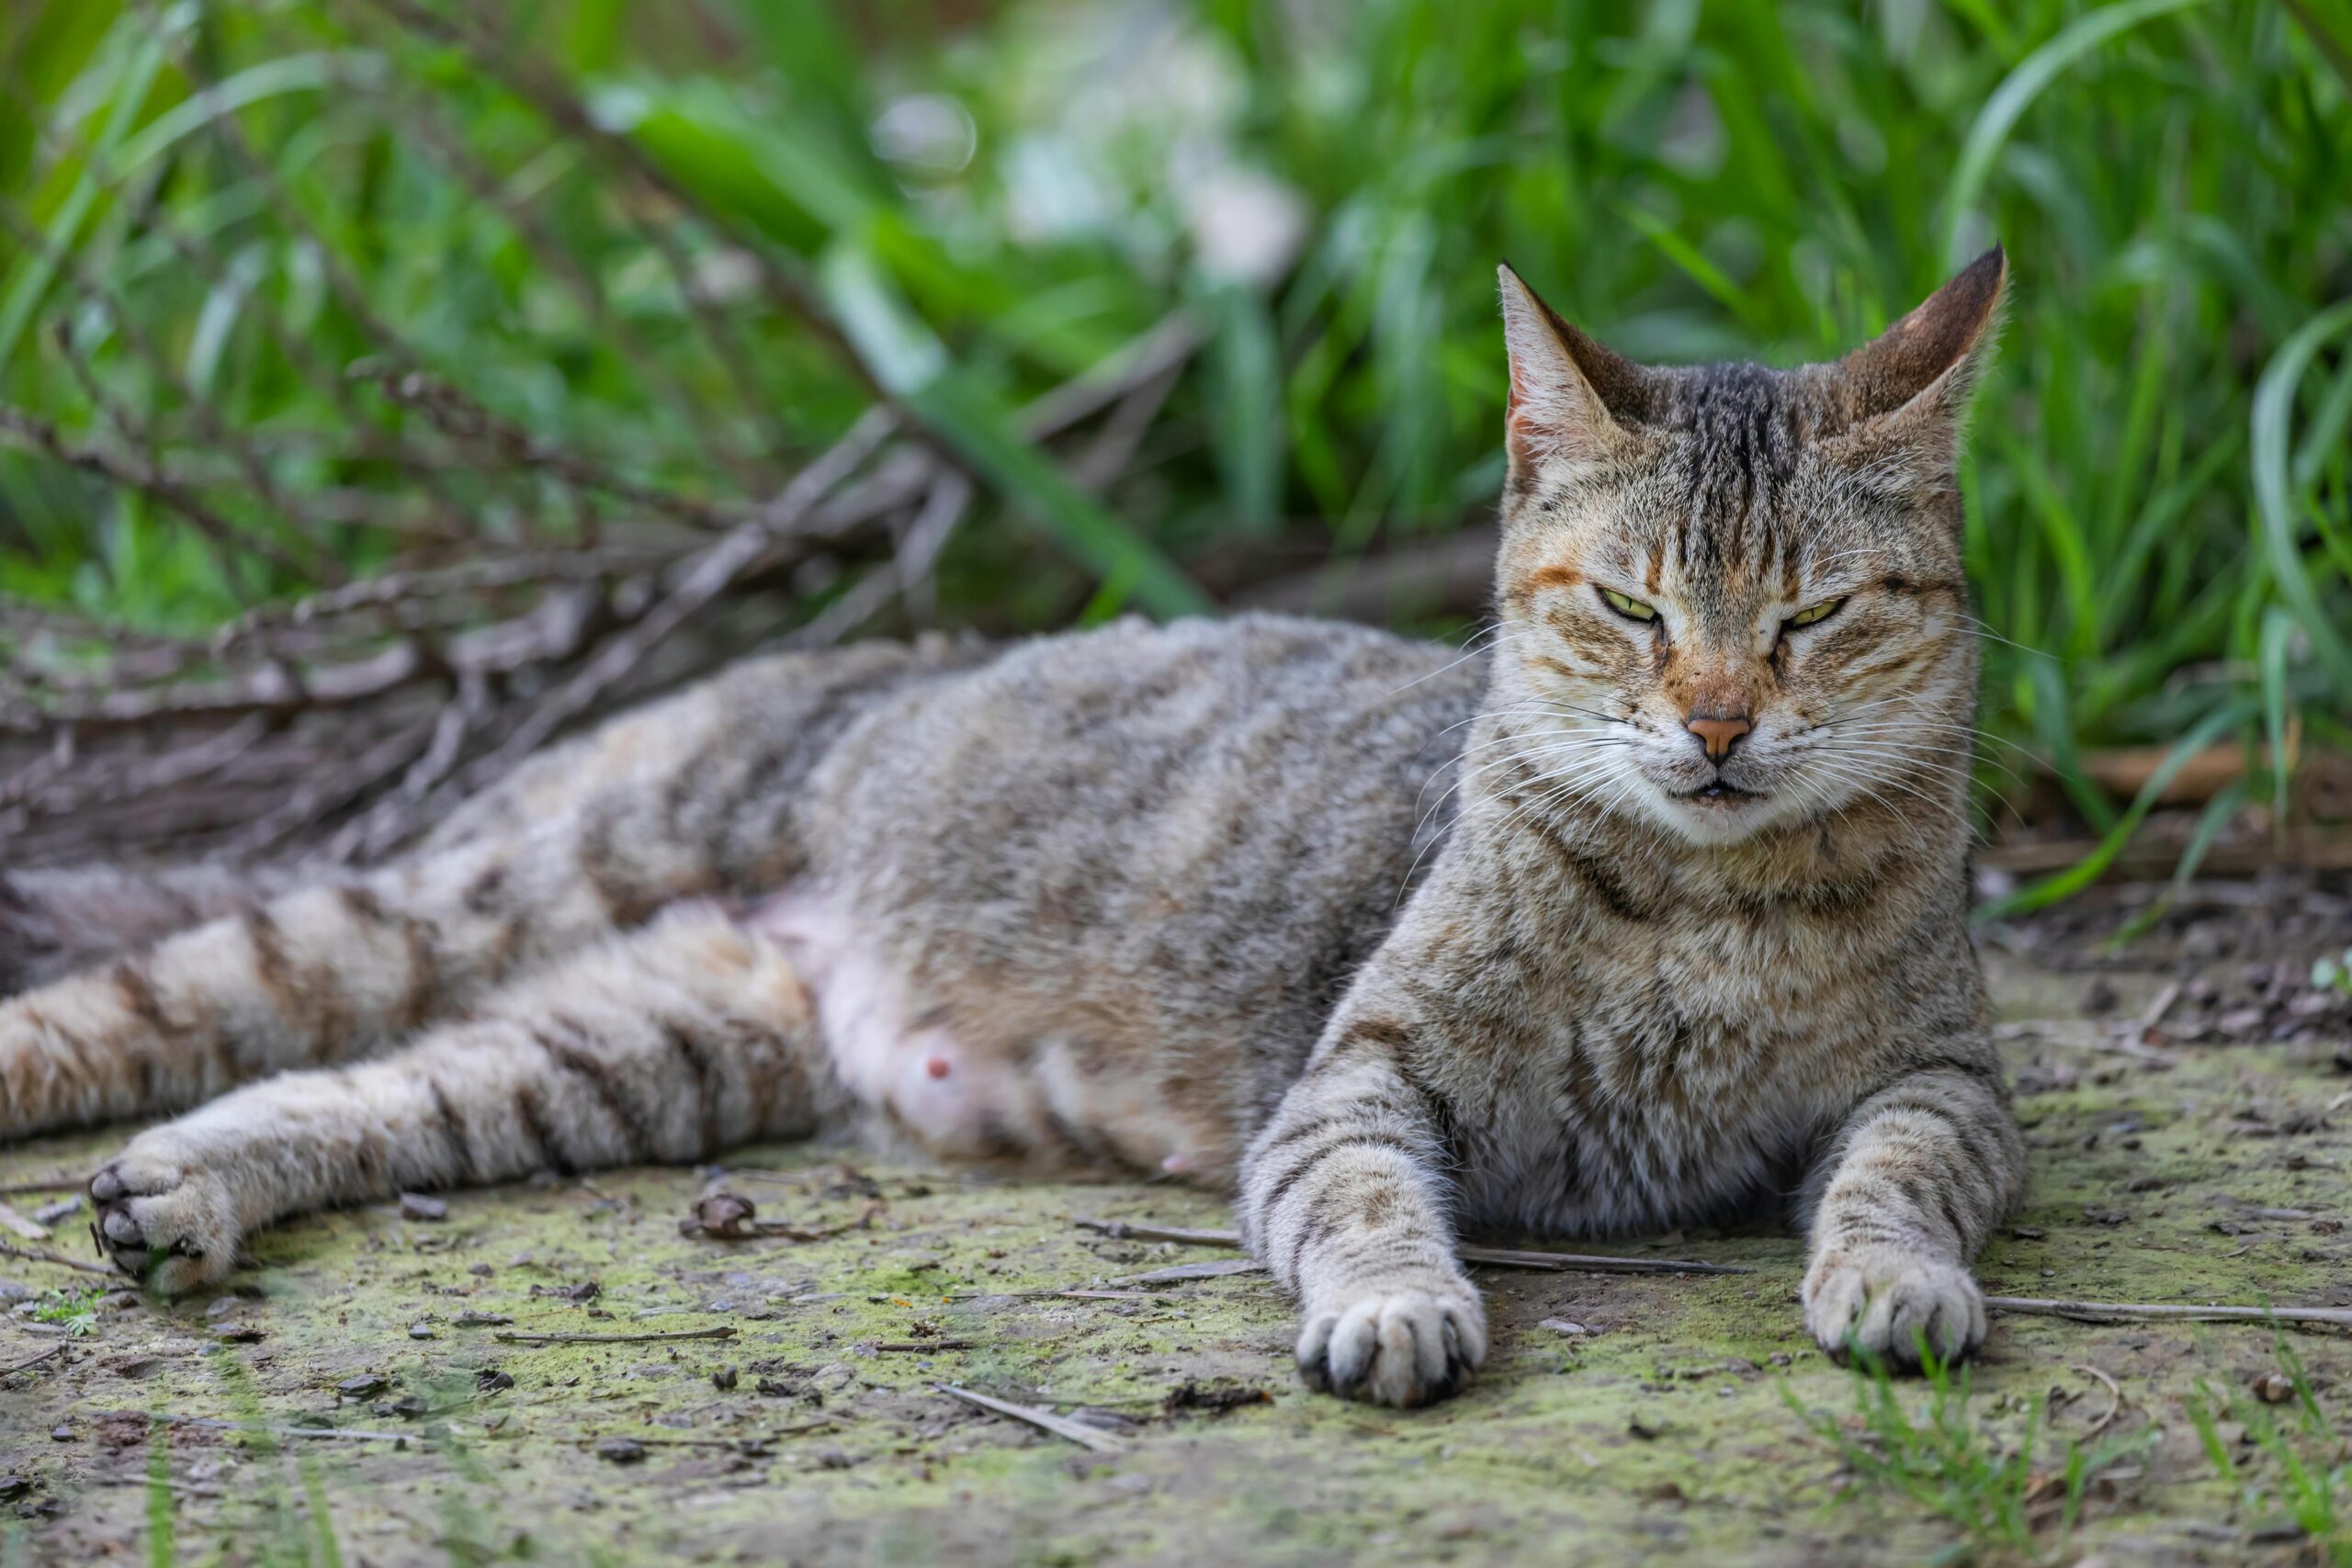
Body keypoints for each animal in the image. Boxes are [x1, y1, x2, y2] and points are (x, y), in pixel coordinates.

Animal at [0, 247, 2022, 1410]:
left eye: (1810, 617)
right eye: (1625, 606)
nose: (1715, 721)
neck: (1707, 901)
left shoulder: (1954, 1082)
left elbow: (1898, 1169)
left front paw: (1890, 1277)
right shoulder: (1354, 1079)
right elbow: (1369, 1199)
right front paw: (1394, 1306)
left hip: (644, 1045)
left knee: (342, 1089)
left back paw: (180, 1191)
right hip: (502, 890)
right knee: (168, 996)